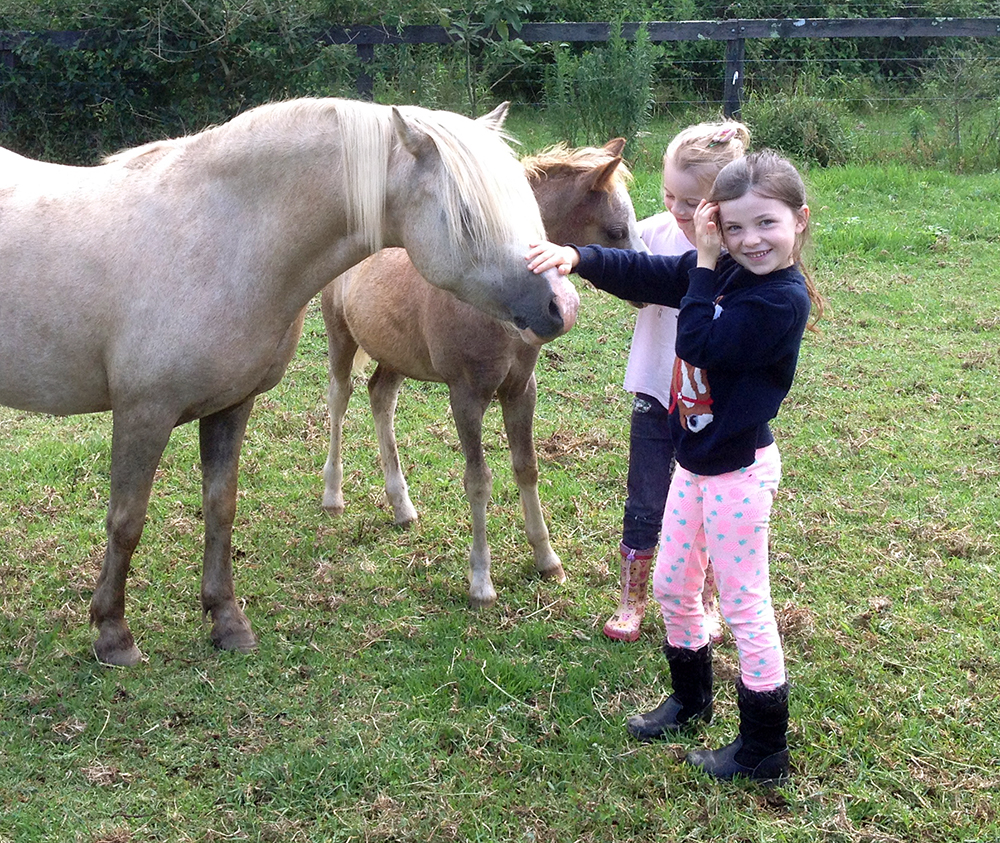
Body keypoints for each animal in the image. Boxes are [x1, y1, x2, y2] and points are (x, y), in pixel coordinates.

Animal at [0, 97, 580, 666]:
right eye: (466, 215)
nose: (562, 306)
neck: (221, 236)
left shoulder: (231, 406)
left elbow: (221, 507)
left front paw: (226, 620)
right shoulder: (143, 413)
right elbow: (126, 520)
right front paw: (113, 633)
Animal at [320, 138, 645, 607]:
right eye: (617, 231)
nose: (643, 288)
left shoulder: (521, 388)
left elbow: (526, 467)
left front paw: (547, 560)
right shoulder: (466, 394)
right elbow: (478, 480)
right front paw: (481, 582)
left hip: (396, 355)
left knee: (380, 397)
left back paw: (402, 507)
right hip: (340, 335)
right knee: (339, 399)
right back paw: (333, 495)